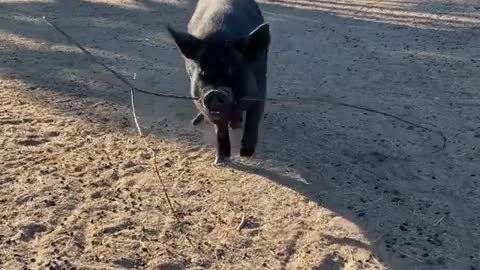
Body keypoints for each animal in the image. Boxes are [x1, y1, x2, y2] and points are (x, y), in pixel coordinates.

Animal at [166, 0, 270, 165]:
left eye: (233, 71)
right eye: (203, 74)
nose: (214, 92)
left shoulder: (260, 88)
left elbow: (253, 120)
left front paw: (245, 153)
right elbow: (220, 129)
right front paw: (220, 160)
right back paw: (196, 122)